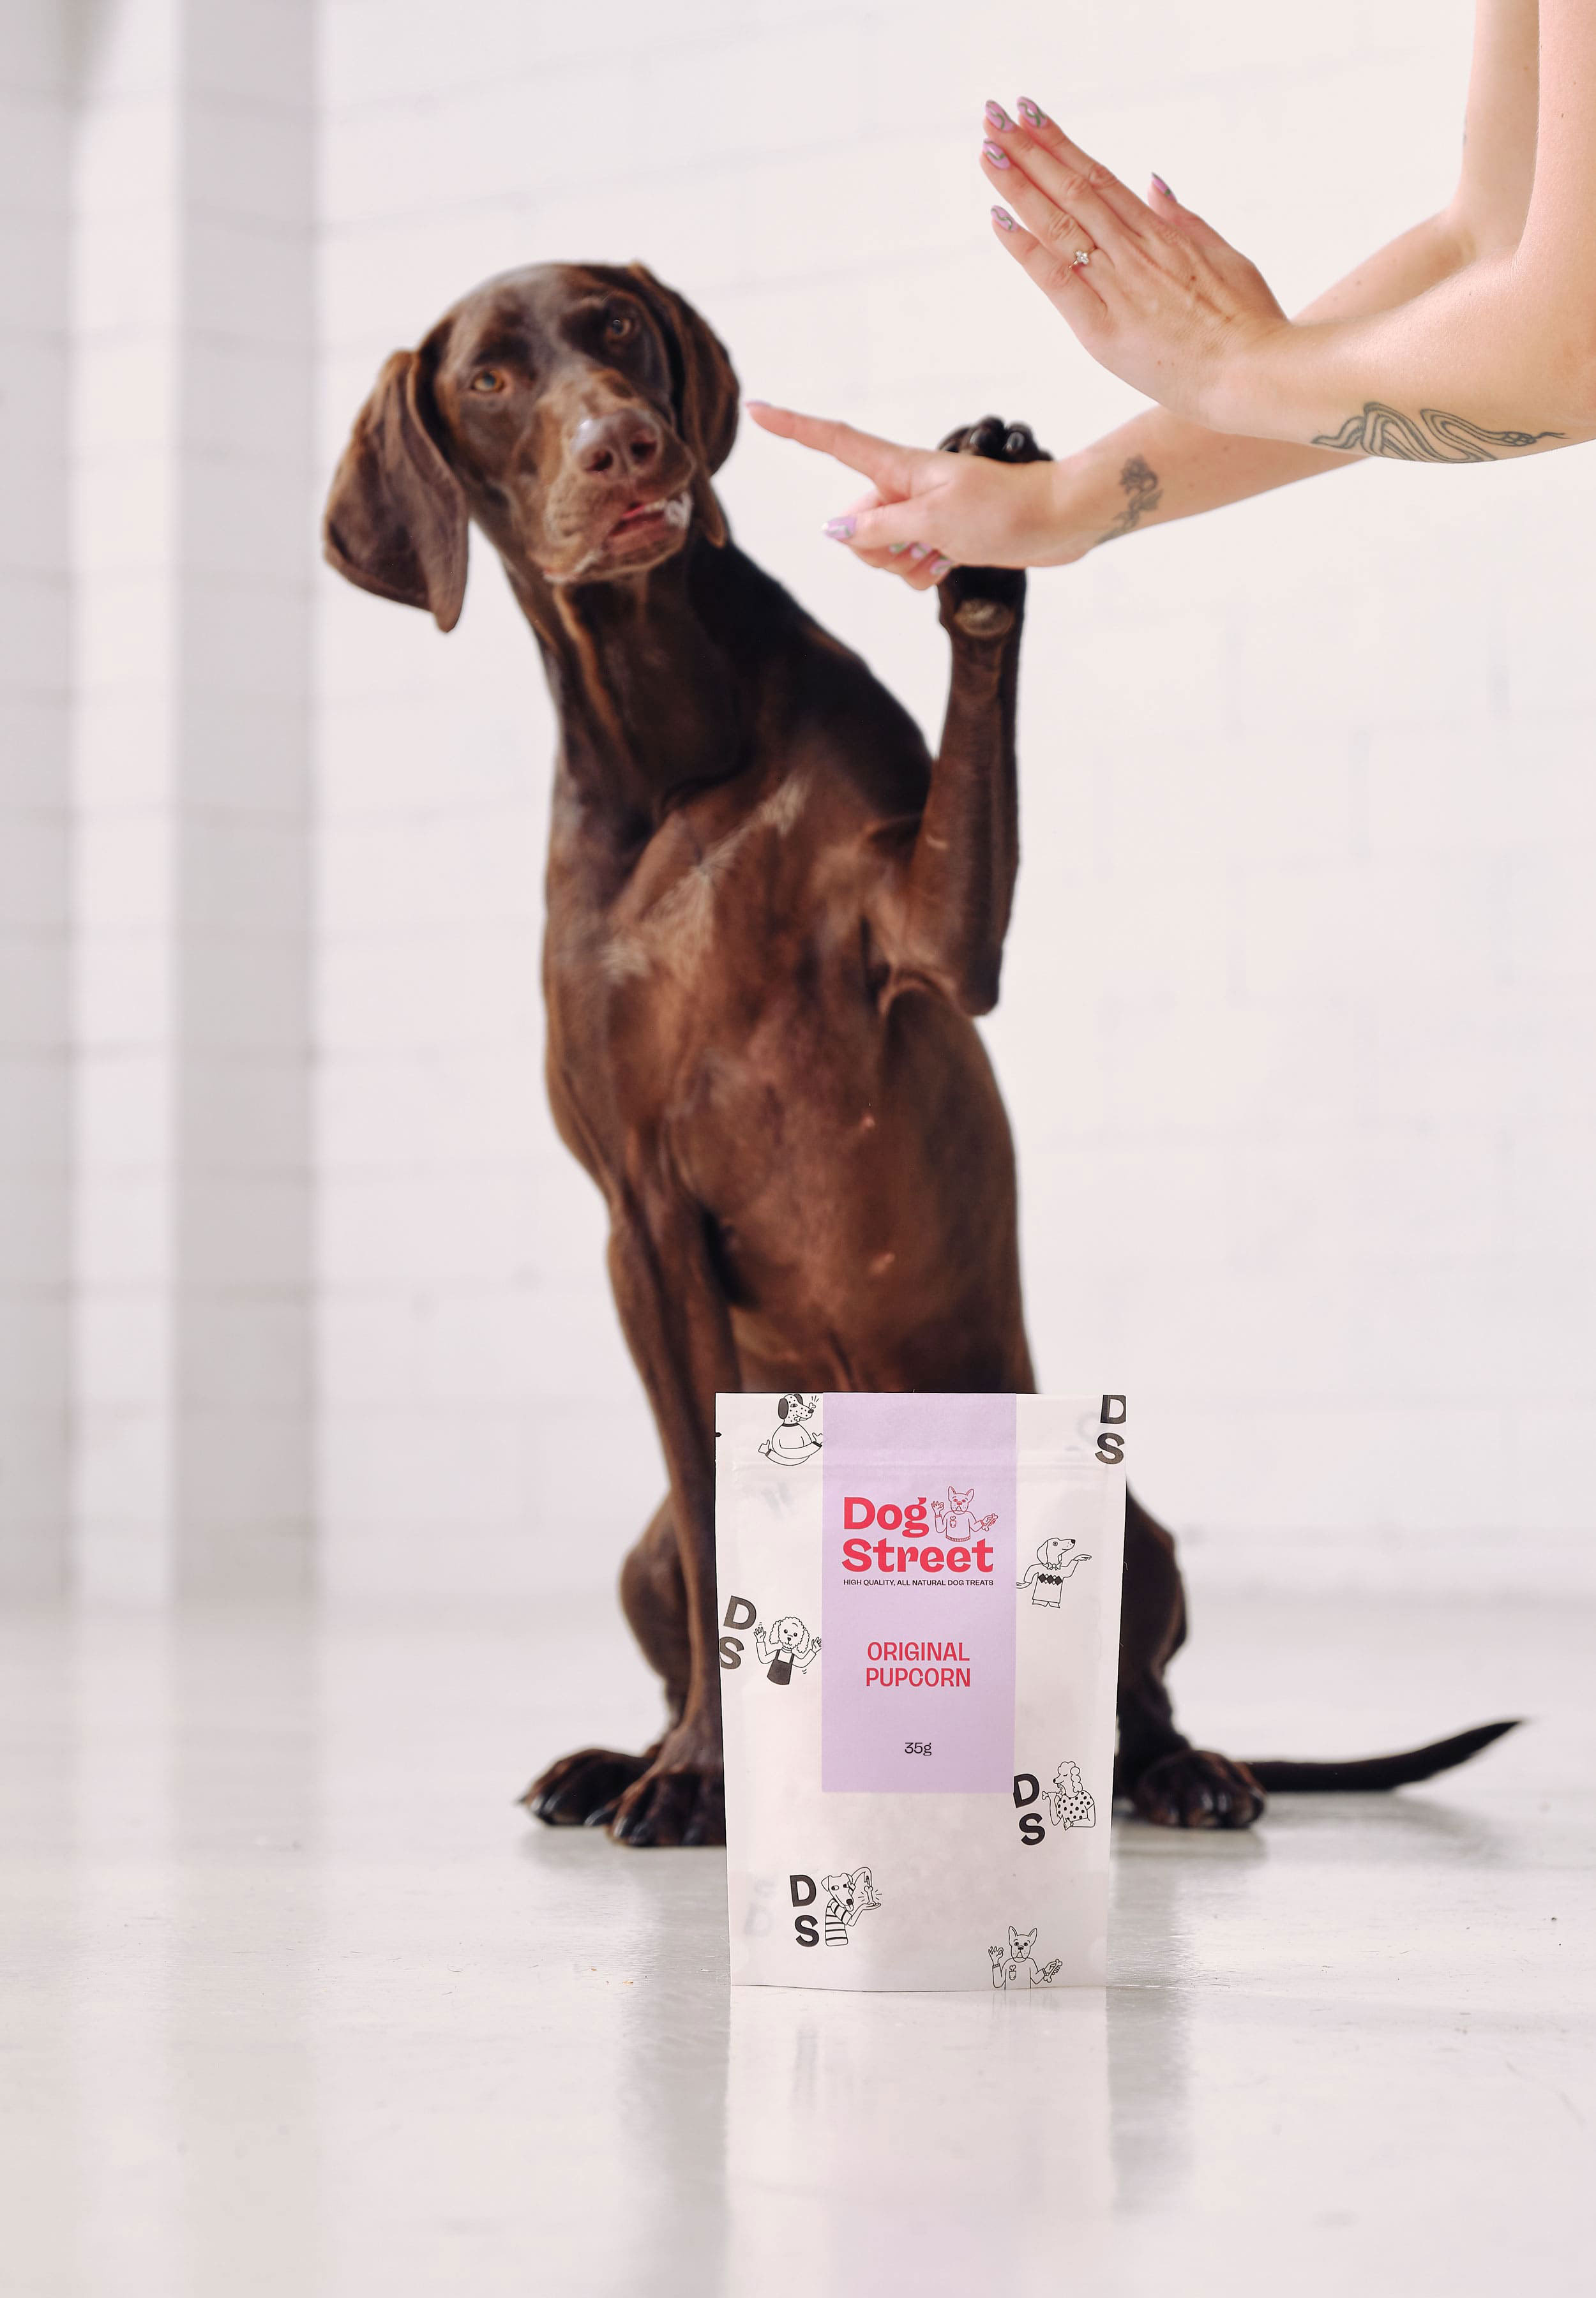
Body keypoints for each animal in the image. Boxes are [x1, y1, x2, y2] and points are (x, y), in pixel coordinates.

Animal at [322, 264, 1509, 1847]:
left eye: (614, 329)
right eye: (490, 383)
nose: (622, 446)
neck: (670, 740)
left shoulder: (936, 938)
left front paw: (984, 542)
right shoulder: (641, 1219)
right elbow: (708, 1530)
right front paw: (691, 1775)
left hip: (1107, 1509)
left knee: (1129, 1698)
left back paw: (1174, 1771)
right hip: (642, 1551)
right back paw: (618, 1761)